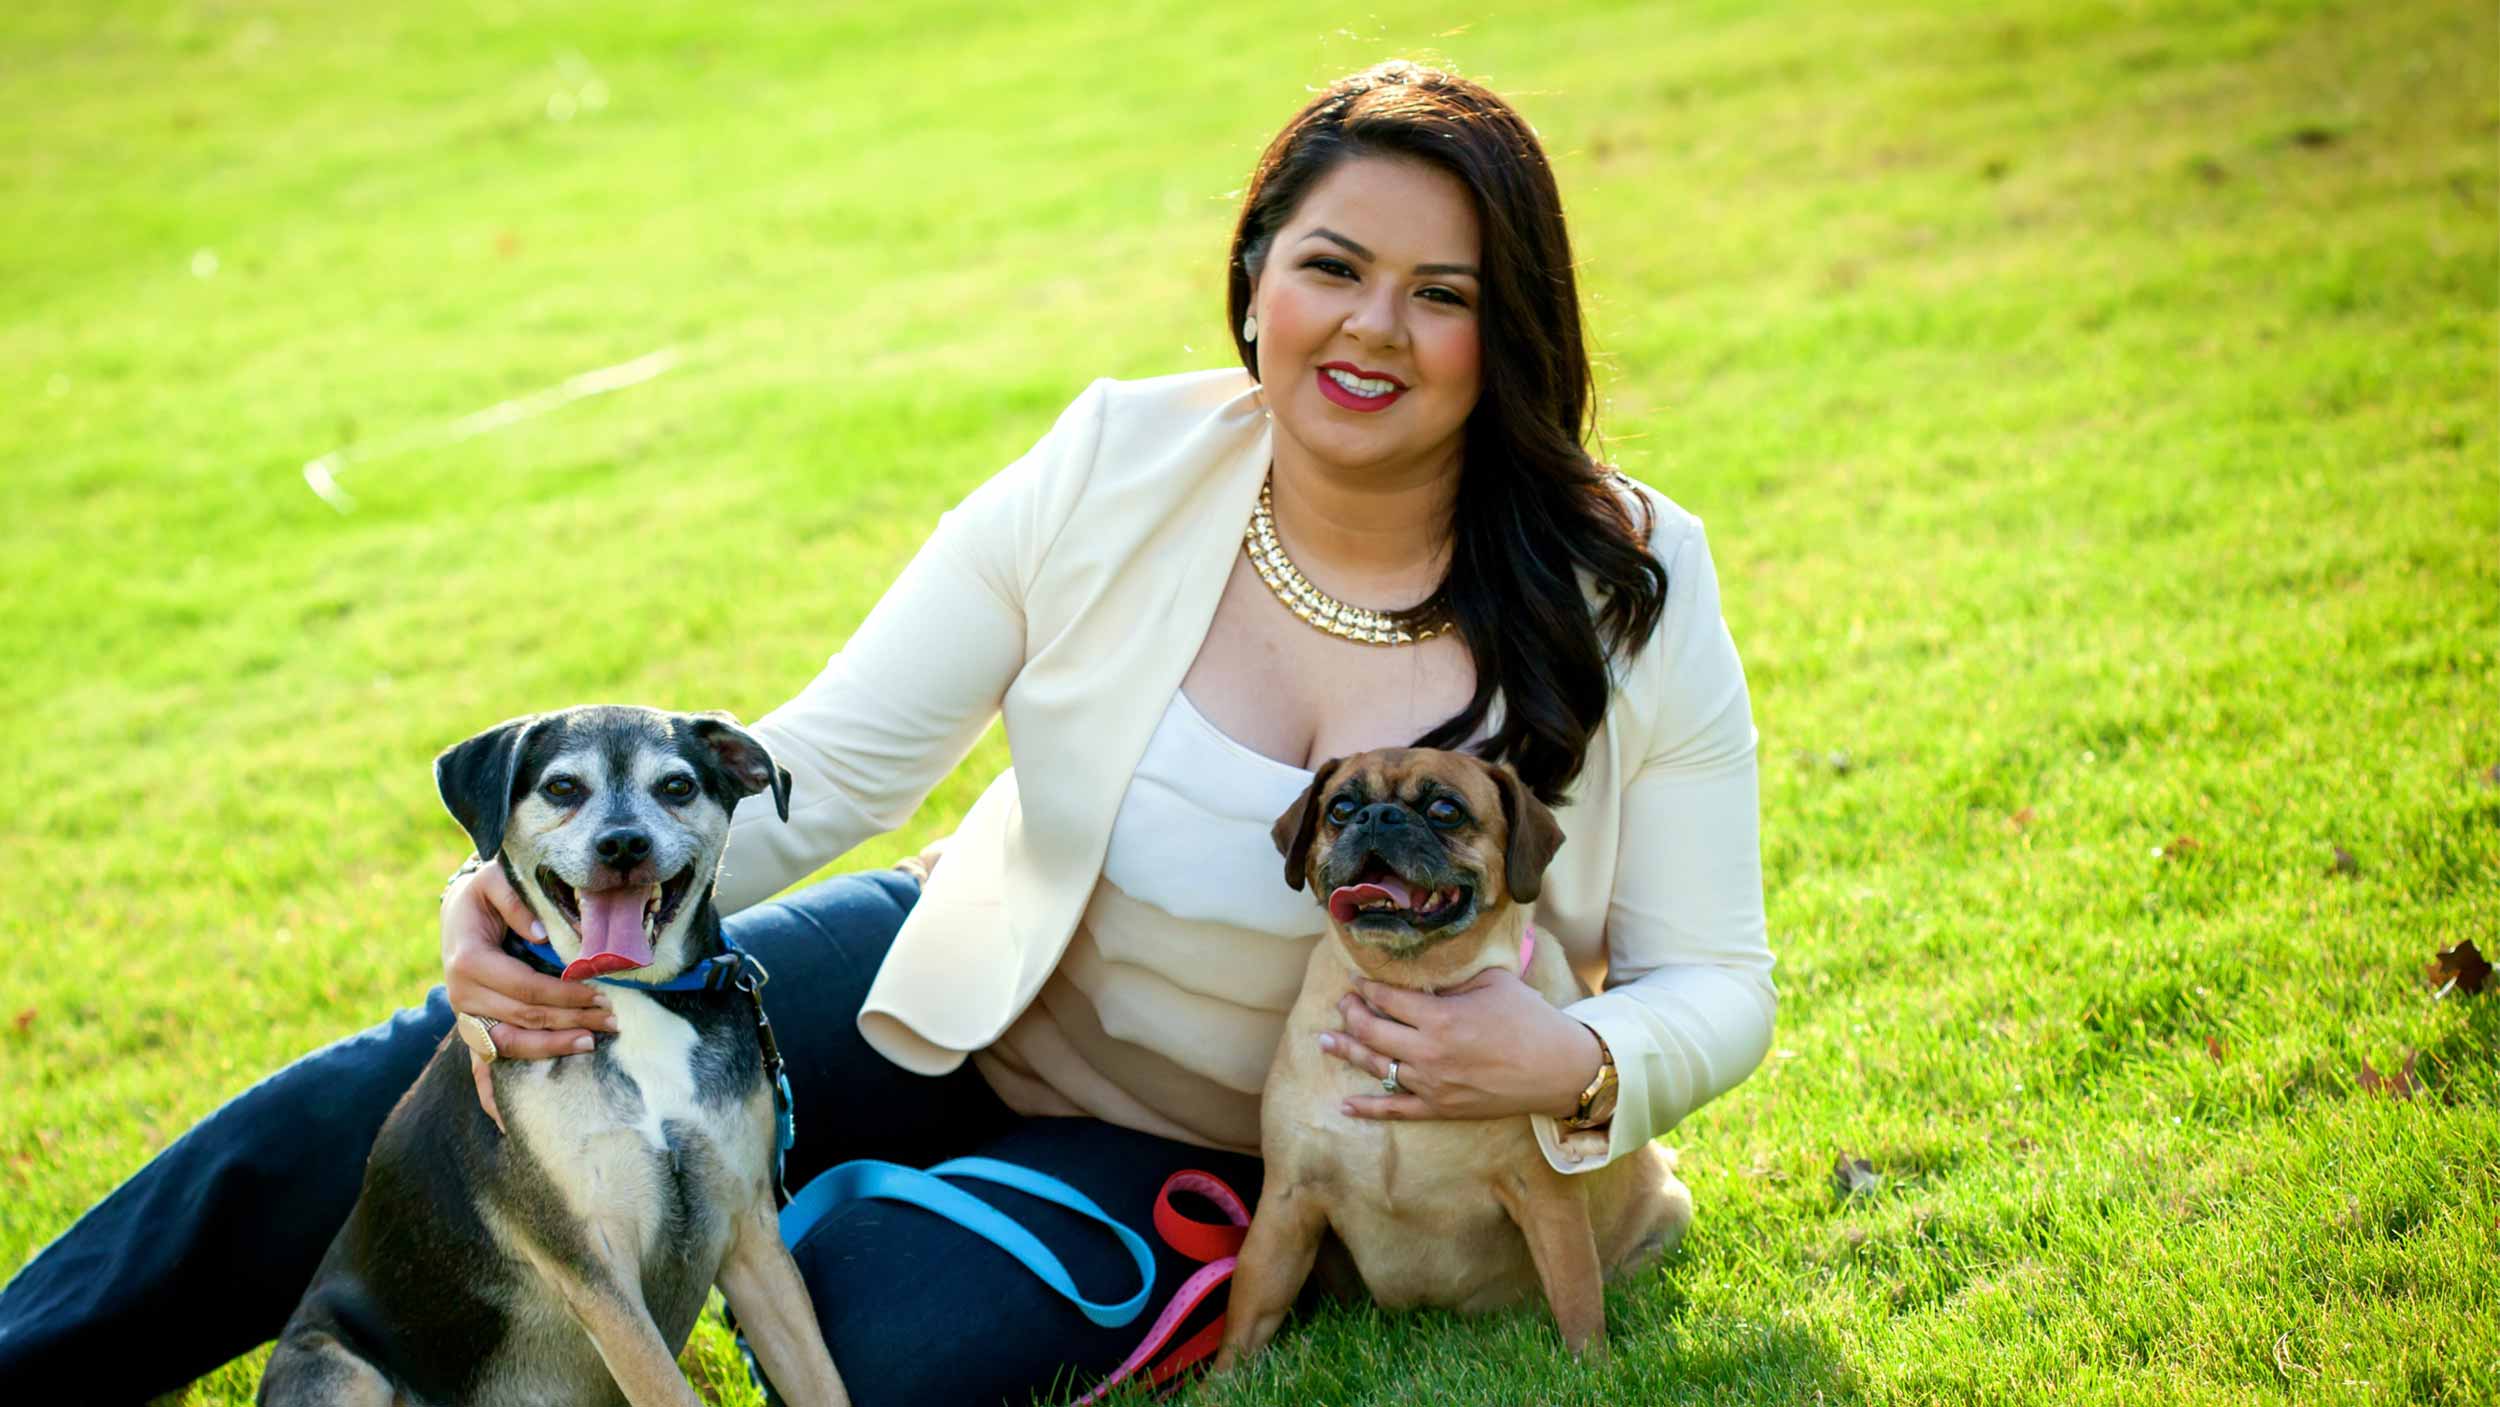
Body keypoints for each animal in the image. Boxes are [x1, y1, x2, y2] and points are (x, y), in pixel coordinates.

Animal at [1215, 754, 1690, 1369]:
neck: (1411, 984)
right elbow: (1249, 1307)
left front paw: (1593, 1369)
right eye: (1340, 808)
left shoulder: (1549, 1201)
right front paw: (1222, 1381)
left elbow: (1577, 1295)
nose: (1377, 816)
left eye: (1445, 810)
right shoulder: (1287, 1202)